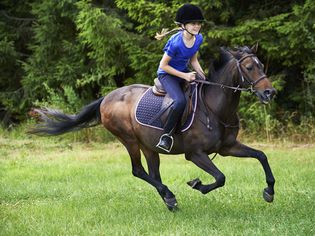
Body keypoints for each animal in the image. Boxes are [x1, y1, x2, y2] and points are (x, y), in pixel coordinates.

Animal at [29, 44, 276, 210]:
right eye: (249, 67)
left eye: (261, 65)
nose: (270, 92)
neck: (215, 108)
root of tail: (107, 97)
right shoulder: (195, 154)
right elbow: (220, 177)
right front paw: (197, 184)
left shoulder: (227, 147)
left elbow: (261, 156)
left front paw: (269, 191)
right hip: (129, 140)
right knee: (138, 171)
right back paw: (169, 195)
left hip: (148, 145)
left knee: (153, 173)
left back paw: (169, 199)